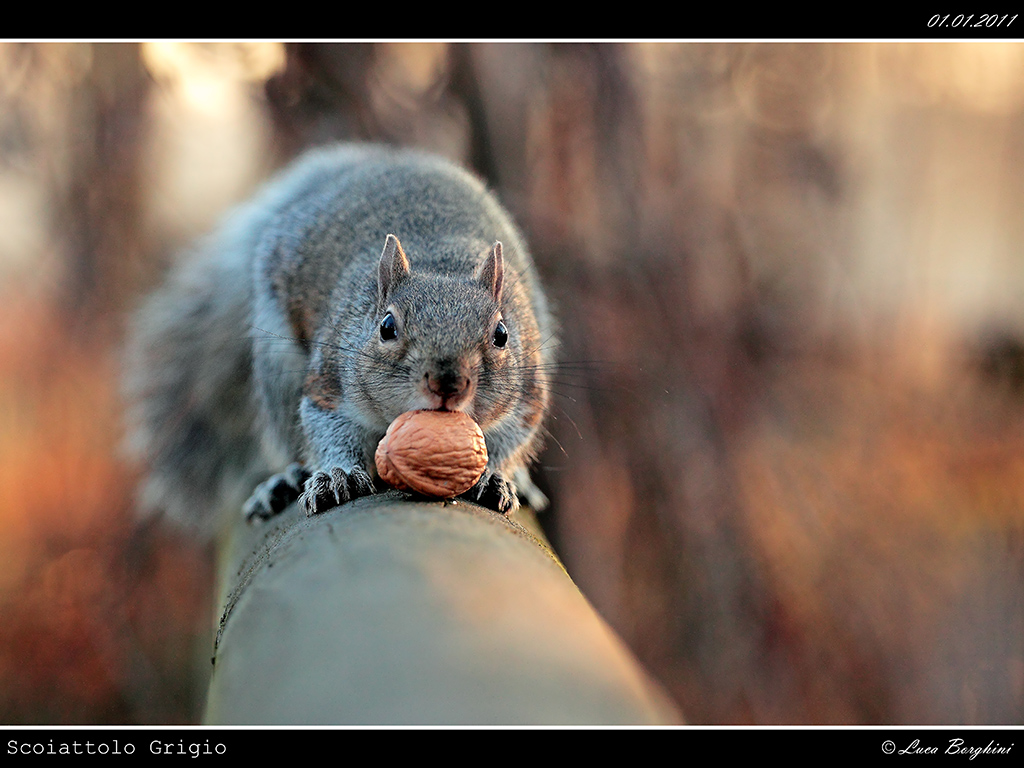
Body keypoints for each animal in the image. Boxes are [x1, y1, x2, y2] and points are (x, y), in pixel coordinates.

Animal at [123, 144, 555, 537]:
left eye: (502, 335)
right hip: (278, 367)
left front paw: (494, 476)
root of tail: (377, 160)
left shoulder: (527, 397)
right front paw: (339, 475)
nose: (448, 383)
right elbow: (328, 427)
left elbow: (511, 438)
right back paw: (285, 480)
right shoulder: (328, 383)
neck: (440, 265)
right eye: (386, 327)